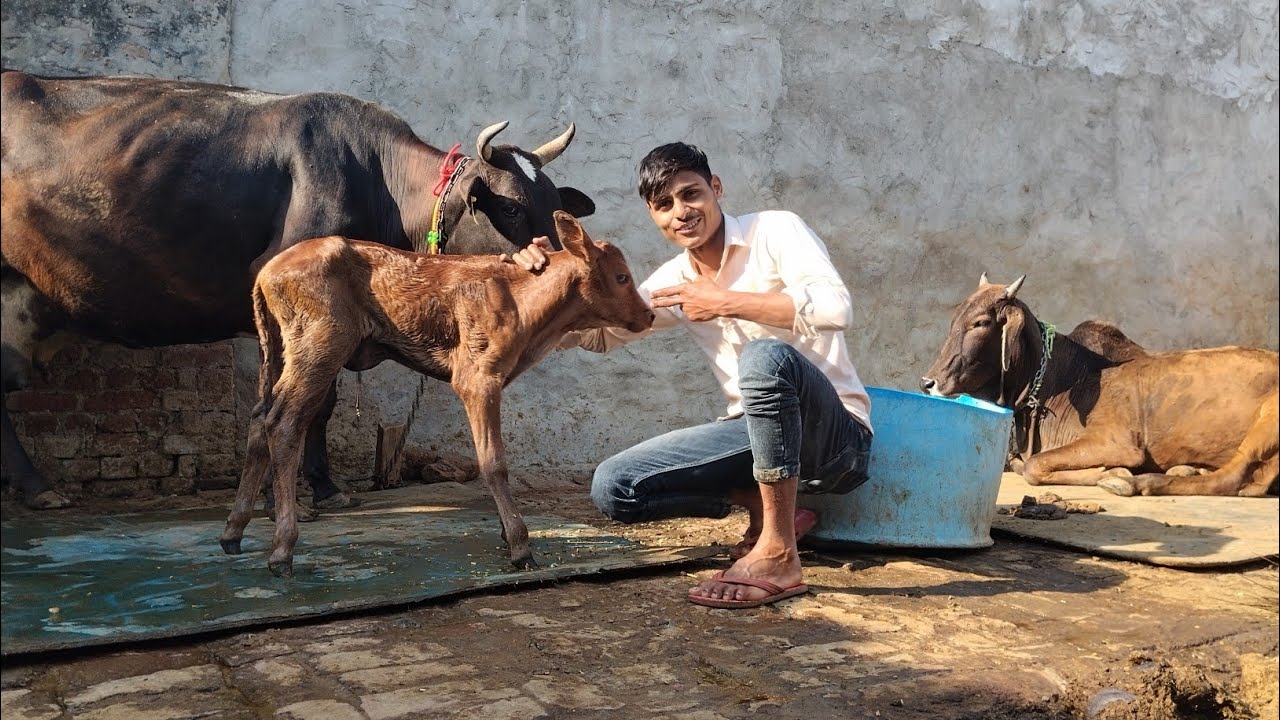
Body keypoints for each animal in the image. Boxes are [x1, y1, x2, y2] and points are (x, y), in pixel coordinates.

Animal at [2, 70, 594, 512]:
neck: (378, 182)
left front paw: (317, 486)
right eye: (511, 207)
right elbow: (307, 398)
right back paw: (38, 489)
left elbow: (317, 402)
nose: (558, 264)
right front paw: (294, 491)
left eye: (553, 205)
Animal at [218, 212, 655, 576]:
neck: (526, 308)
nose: (649, 315)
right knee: (284, 424)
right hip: (320, 346)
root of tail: (267, 272)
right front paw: (519, 544)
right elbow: (493, 461)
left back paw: (233, 530)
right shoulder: (477, 377)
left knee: (259, 420)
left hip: (279, 350)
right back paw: (282, 548)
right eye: (621, 277)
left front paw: (505, 530)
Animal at [920, 274, 1279, 498]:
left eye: (981, 322)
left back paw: (1145, 482)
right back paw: (1187, 470)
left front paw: (1113, 474)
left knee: (1234, 478)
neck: (1063, 380)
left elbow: (1035, 467)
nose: (928, 382)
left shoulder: (1117, 442)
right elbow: (1023, 465)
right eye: (954, 320)